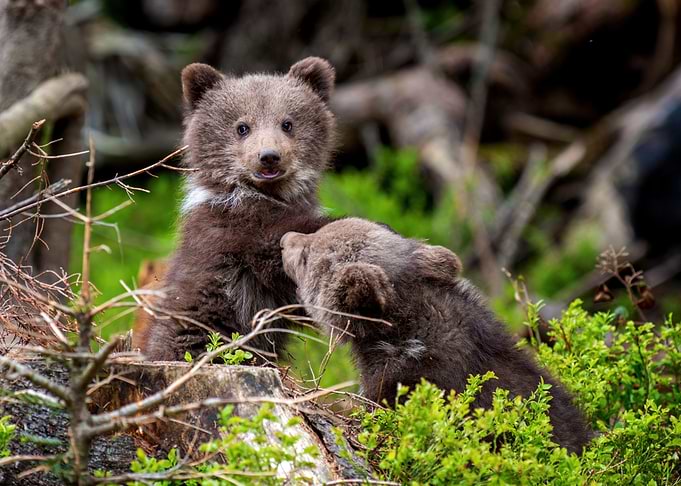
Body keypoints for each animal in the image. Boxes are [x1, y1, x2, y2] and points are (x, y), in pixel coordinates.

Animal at [133, 57, 336, 361]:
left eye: (287, 123)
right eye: (242, 127)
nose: (269, 157)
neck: (271, 195)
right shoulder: (234, 228)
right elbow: (277, 249)